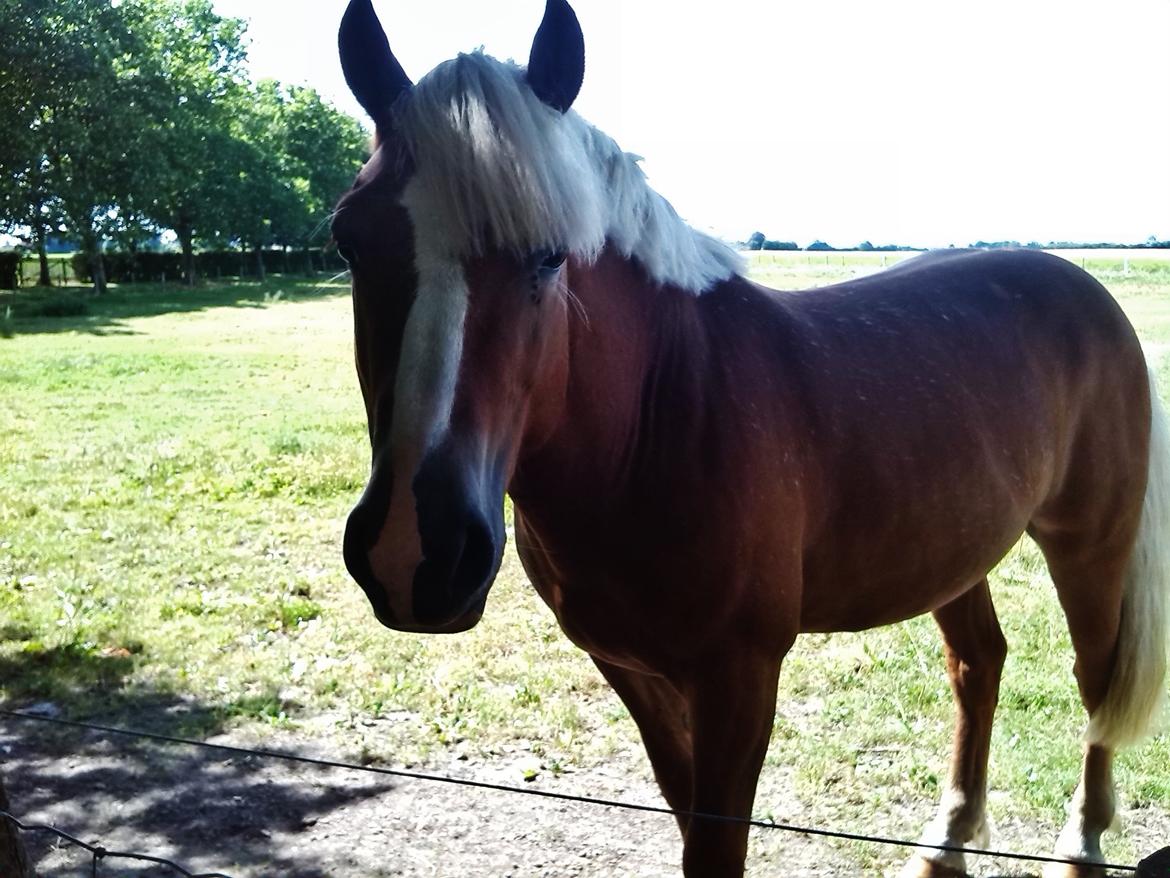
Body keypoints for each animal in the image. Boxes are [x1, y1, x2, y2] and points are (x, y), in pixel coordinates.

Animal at [332, 3, 1170, 875]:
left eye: (549, 256)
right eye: (348, 242)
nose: (414, 551)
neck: (660, 422)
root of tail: (1090, 294)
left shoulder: (740, 678)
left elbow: (716, 842)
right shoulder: (632, 671)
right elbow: (686, 816)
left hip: (1090, 547)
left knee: (1096, 679)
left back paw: (1082, 842)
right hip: (952, 551)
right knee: (980, 664)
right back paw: (945, 844)